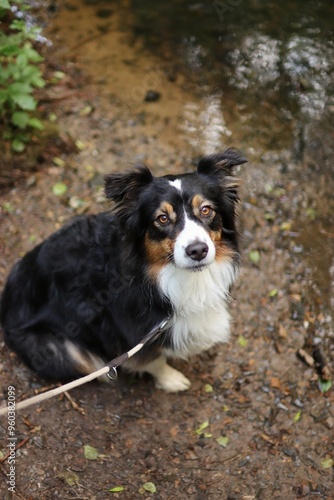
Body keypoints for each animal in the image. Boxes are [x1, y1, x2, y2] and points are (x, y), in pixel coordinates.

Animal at [0, 149, 245, 394]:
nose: (198, 251)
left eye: (206, 210)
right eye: (162, 218)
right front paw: (172, 380)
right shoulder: (134, 334)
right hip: (58, 346)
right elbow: (153, 360)